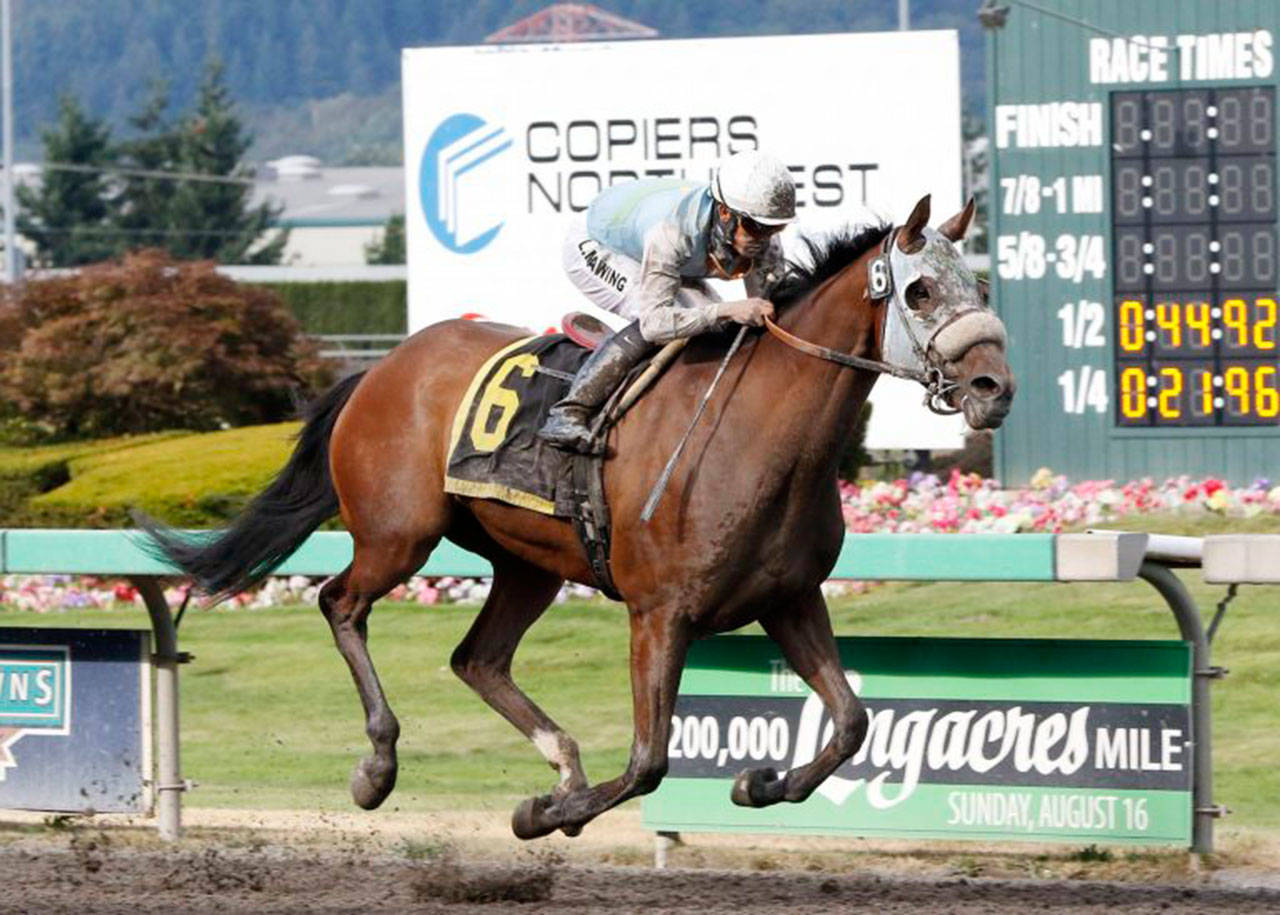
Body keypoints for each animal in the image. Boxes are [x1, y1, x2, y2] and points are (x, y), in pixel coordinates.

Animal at [142, 193, 1018, 839]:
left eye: (979, 289)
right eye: (920, 290)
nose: (994, 388)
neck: (755, 432)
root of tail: (380, 366)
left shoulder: (790, 599)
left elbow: (851, 721)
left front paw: (759, 780)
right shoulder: (659, 613)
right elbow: (647, 762)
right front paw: (546, 813)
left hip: (525, 562)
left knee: (477, 658)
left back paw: (559, 757)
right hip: (398, 534)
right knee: (341, 603)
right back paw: (380, 766)